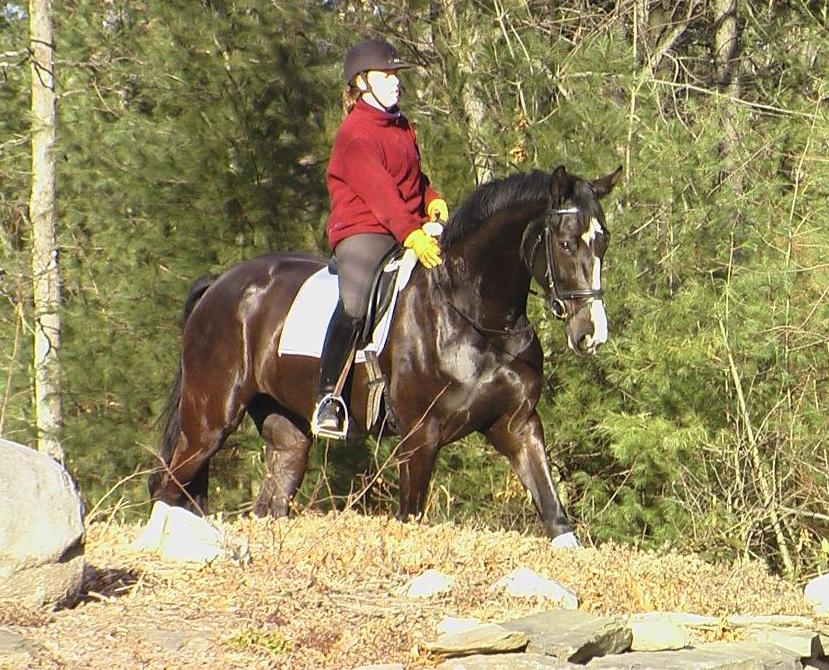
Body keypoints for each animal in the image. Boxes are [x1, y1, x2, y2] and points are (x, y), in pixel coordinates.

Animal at [149, 165, 620, 548]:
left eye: (603, 243)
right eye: (565, 243)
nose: (591, 334)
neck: (474, 317)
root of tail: (221, 284)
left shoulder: (517, 425)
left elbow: (553, 510)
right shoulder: (419, 437)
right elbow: (410, 514)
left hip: (285, 430)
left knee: (271, 494)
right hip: (209, 420)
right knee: (170, 486)